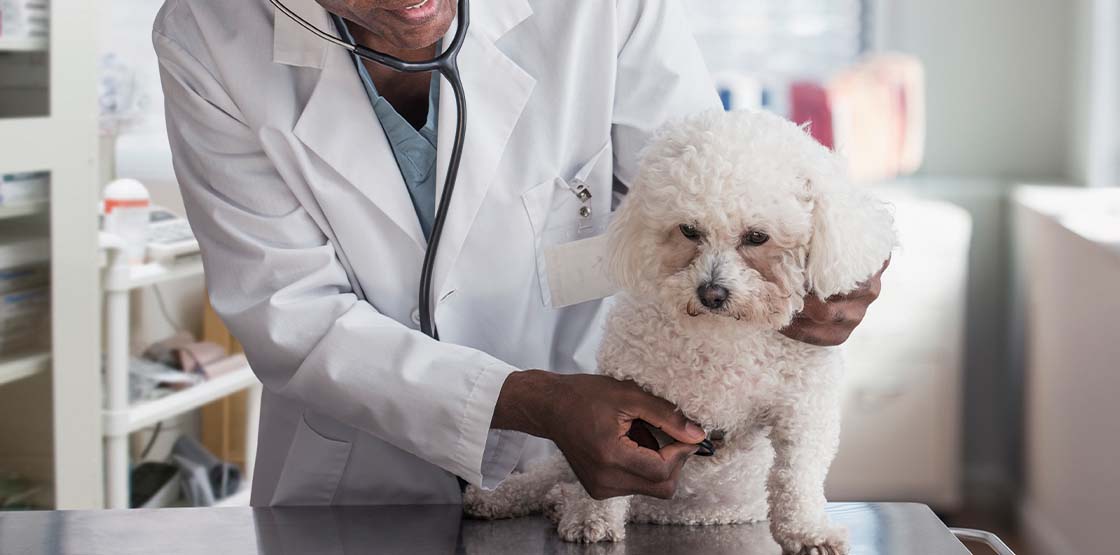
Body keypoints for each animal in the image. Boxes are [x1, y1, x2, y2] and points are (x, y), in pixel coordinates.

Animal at [468, 109, 896, 555]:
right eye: (689, 230)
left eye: (757, 237)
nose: (711, 293)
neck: (725, 334)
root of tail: (672, 513)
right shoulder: (629, 401)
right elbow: (603, 482)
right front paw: (592, 519)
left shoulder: (804, 409)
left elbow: (798, 475)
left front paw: (808, 530)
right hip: (565, 461)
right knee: (547, 476)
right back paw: (509, 498)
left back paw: (555, 502)